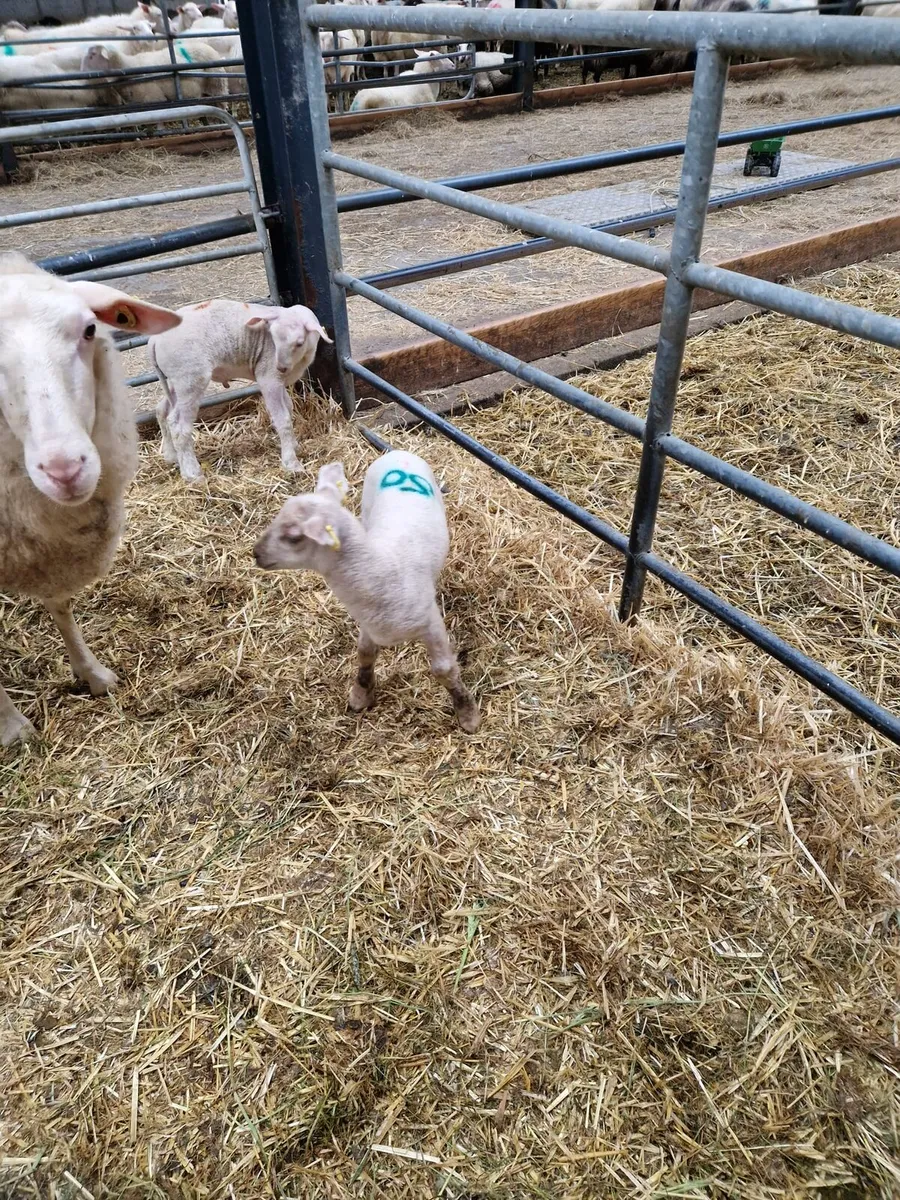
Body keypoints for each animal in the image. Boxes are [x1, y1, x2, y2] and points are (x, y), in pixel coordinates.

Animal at [147, 299, 330, 480]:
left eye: (299, 343)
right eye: (273, 338)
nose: (281, 367)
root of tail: (154, 340)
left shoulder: (280, 380)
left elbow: (289, 408)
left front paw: (294, 445)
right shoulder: (268, 377)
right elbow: (283, 419)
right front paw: (291, 463)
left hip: (176, 380)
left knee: (162, 411)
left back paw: (171, 456)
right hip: (190, 378)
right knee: (179, 427)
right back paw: (193, 474)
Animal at [253, 455, 481, 733]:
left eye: (295, 537)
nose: (256, 553)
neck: (380, 567)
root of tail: (397, 452)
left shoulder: (431, 624)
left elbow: (444, 670)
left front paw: (467, 714)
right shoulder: (368, 622)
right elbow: (364, 655)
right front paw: (361, 694)